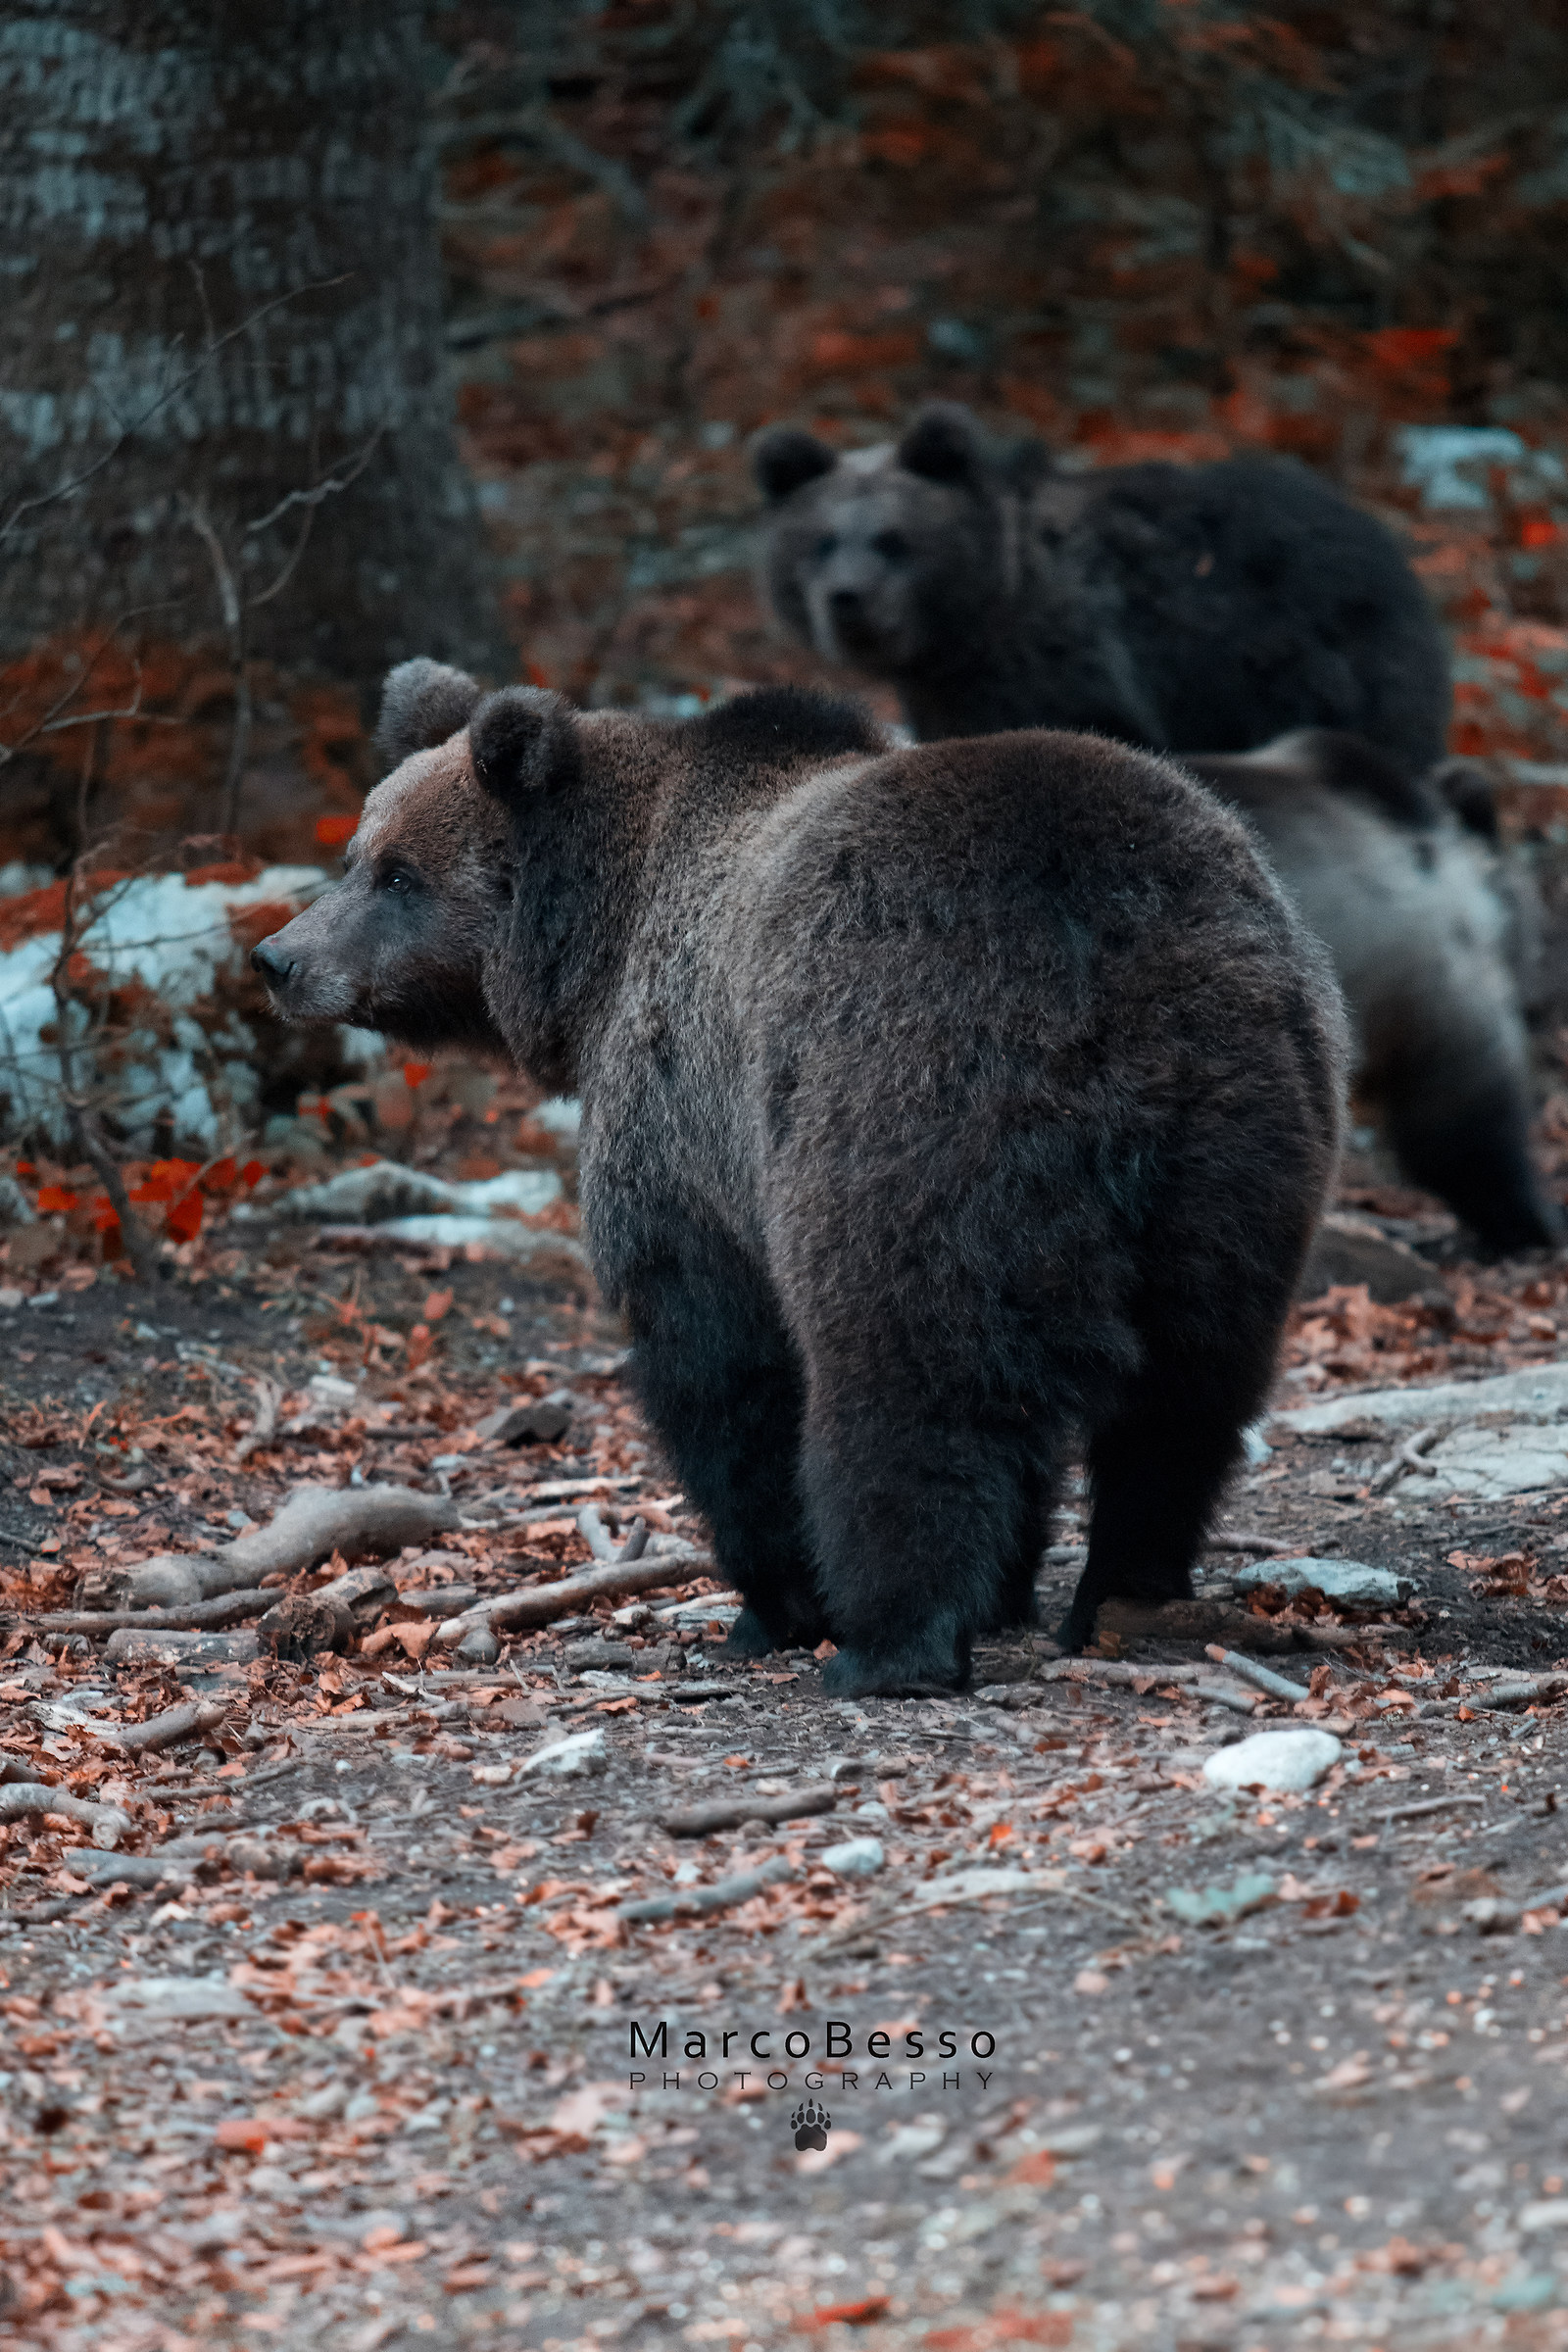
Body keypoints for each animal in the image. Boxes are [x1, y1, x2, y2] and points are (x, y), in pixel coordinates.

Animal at [253, 662, 1348, 1684]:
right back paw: (1124, 1592)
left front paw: (777, 1605)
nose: (277, 958)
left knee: (910, 1364)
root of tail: (1100, 927)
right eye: (357, 855)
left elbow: (721, 1366)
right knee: (1190, 1383)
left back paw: (890, 1641)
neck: (599, 950)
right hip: (1235, 1121)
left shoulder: (685, 1130)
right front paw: (1003, 1589)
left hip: (907, 1088)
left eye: (400, 875)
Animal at [753, 401, 1451, 773]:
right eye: (821, 541)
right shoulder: (950, 693)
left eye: (894, 540)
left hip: (1297, 666)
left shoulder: (1074, 667)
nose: (848, 600)